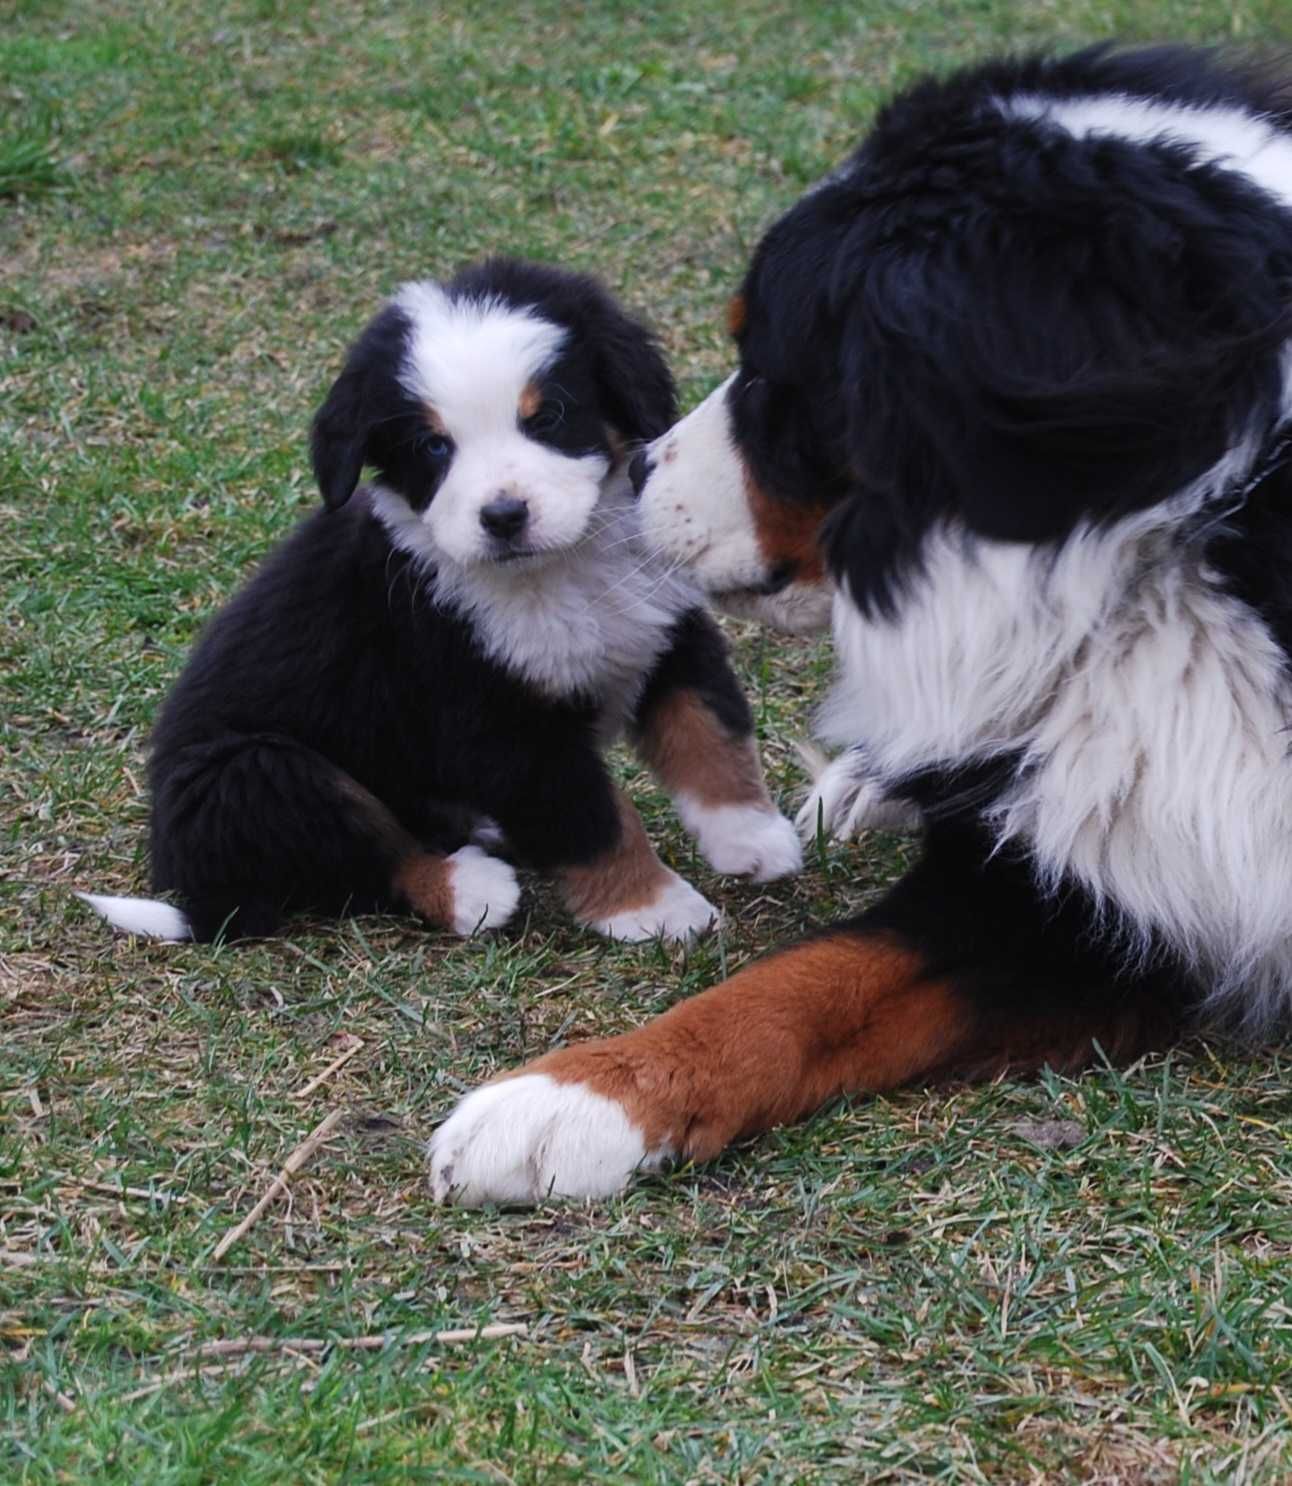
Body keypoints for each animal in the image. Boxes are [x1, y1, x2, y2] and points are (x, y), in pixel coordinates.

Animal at [78, 258, 796, 939]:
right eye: (433, 445)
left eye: (548, 417)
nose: (504, 516)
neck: (559, 572)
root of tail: (187, 878)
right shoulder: (491, 718)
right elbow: (593, 818)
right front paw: (654, 908)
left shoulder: (665, 634)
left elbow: (712, 734)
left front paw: (753, 838)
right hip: (249, 769)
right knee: (372, 855)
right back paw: (471, 890)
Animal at [428, 46, 1290, 1206]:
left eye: (770, 366)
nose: (635, 469)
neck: (1189, 547)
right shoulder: (1064, 895)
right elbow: (800, 982)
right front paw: (571, 1099)